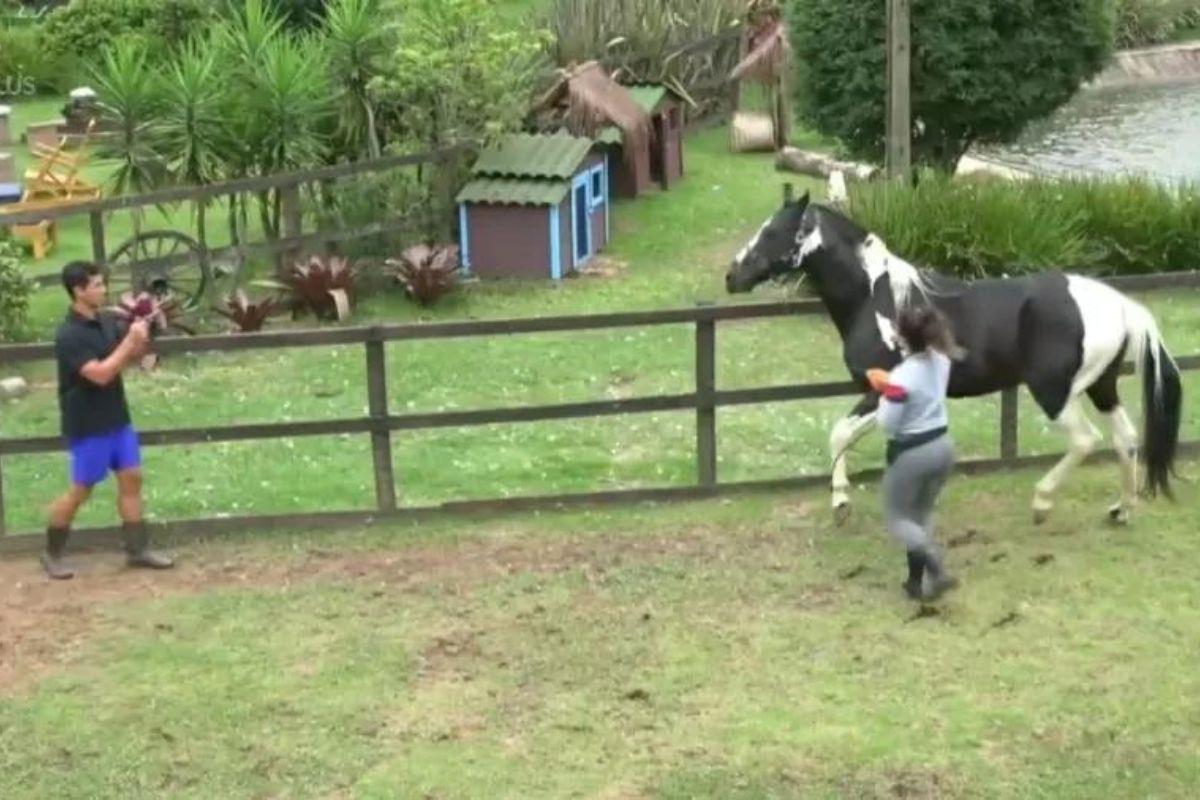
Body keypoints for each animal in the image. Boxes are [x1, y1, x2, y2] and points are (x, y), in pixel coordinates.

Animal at [720, 188, 1180, 525]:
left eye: (773, 232)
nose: (731, 276)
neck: (877, 300)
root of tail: (1119, 304)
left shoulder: (882, 389)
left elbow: (839, 434)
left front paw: (841, 502)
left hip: (1054, 390)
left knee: (1086, 440)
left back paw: (1042, 502)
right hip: (1102, 385)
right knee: (1126, 439)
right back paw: (1121, 510)